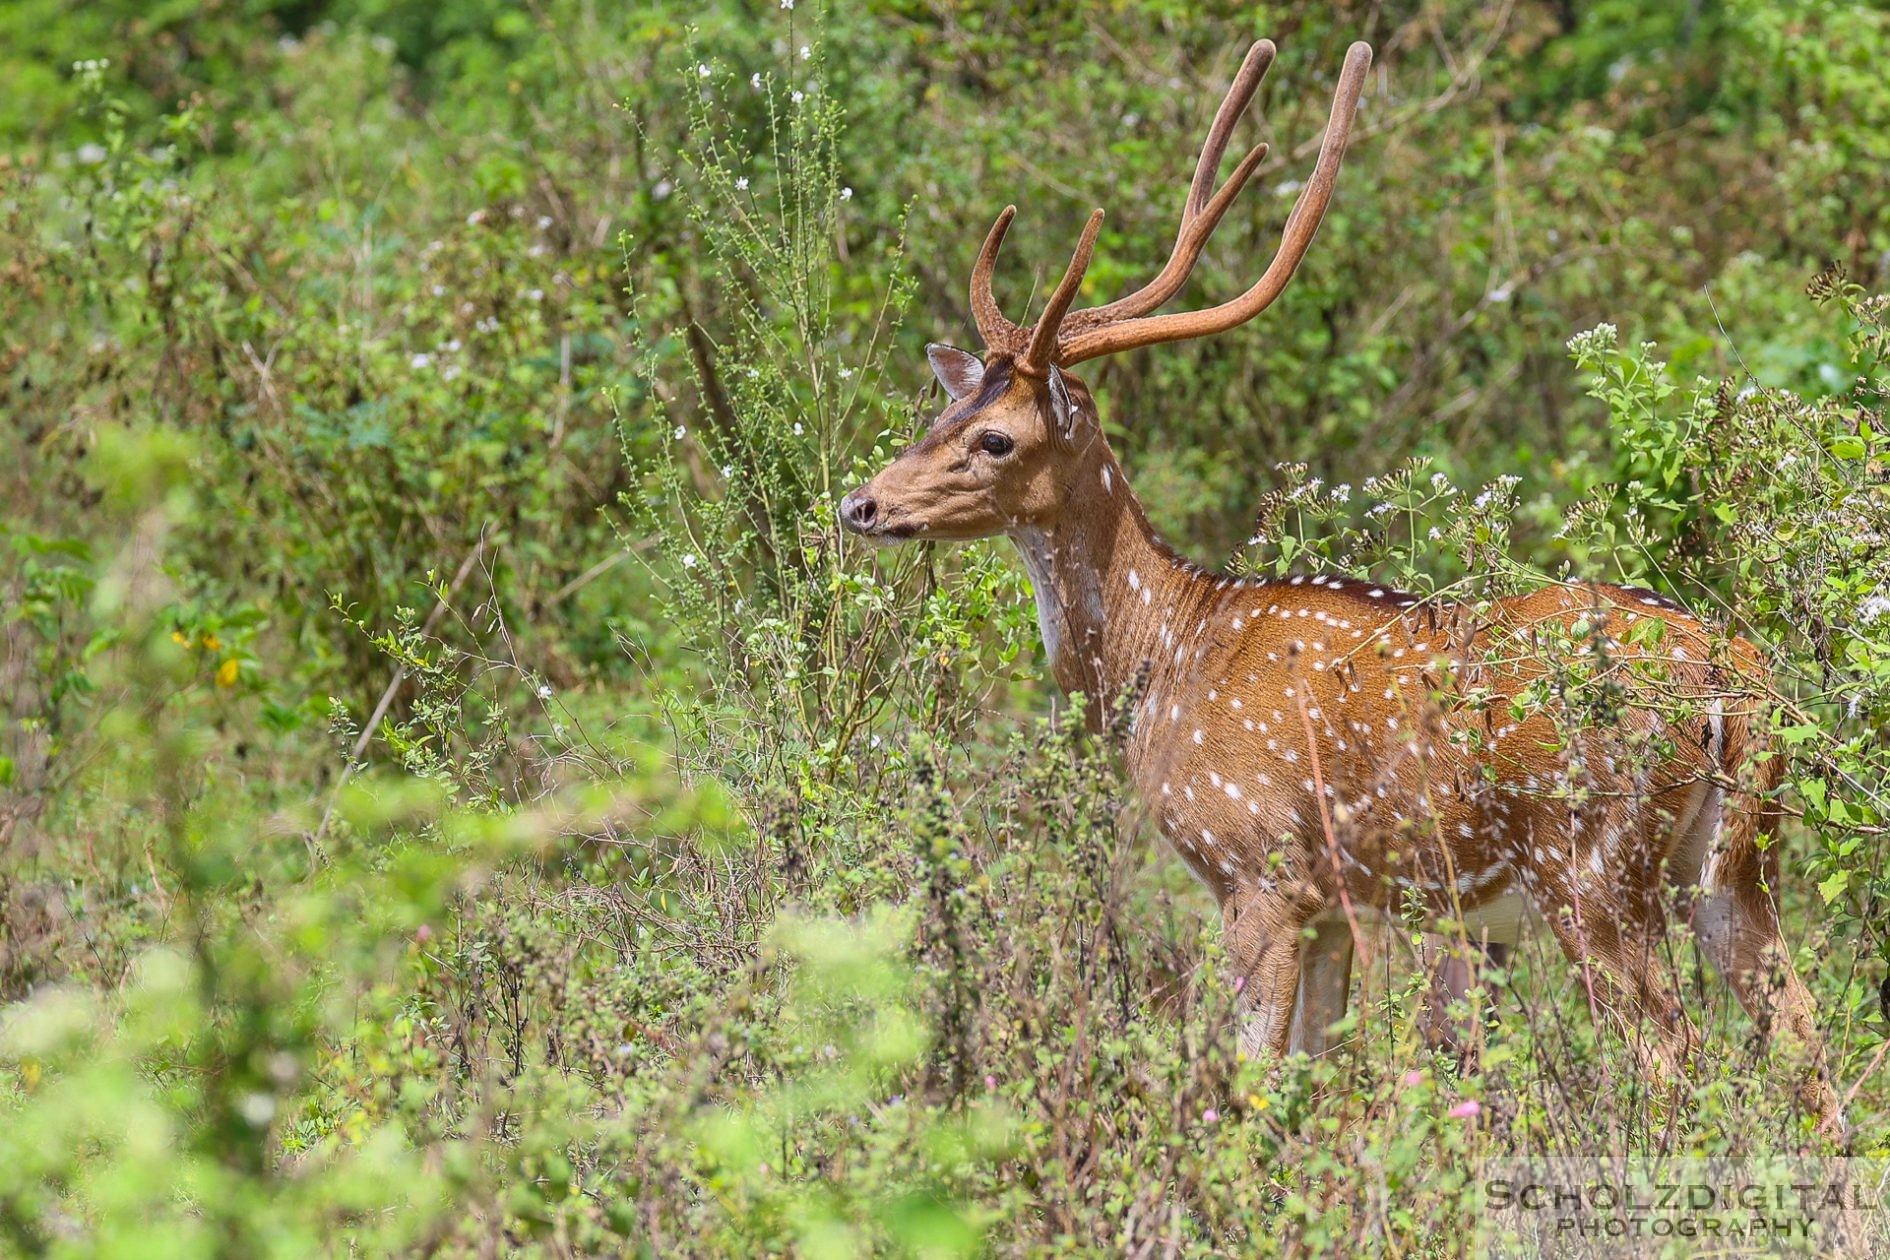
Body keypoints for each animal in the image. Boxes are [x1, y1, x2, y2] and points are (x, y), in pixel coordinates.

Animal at [846, 37, 1844, 1133]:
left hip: (1587, 861)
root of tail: (1732, 679)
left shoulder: (1259, 866)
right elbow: (1310, 1077)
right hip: (1739, 860)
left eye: (995, 438)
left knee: (1673, 1058)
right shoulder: (1335, 904)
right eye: (935, 417)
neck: (1160, 665)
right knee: (1806, 1045)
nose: (860, 504)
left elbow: (1249, 1083)